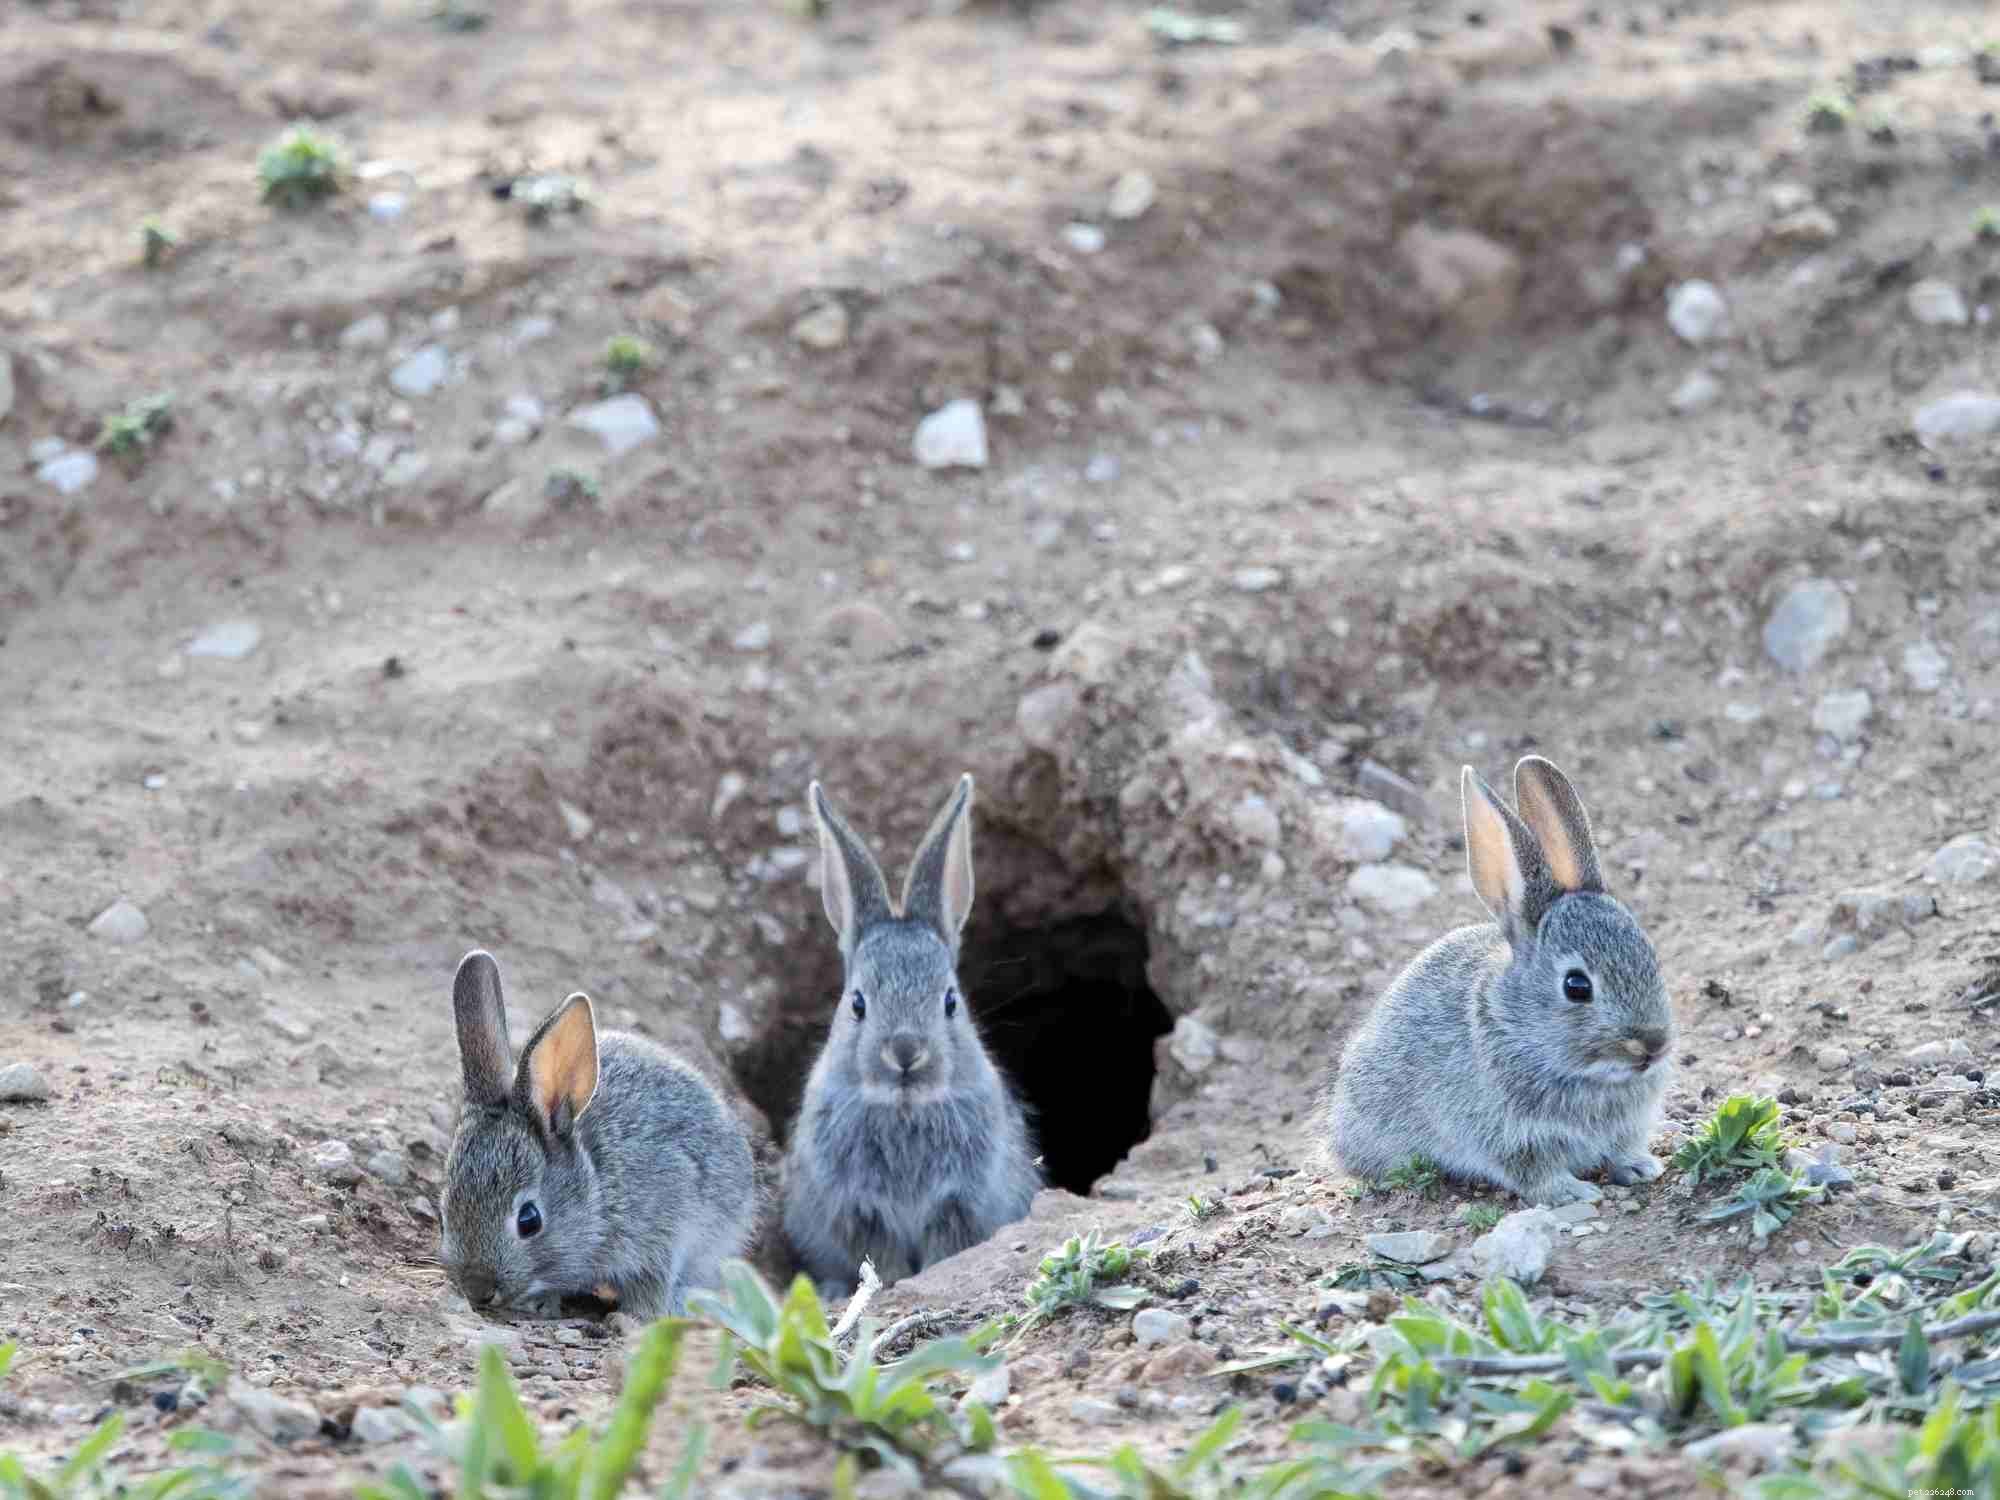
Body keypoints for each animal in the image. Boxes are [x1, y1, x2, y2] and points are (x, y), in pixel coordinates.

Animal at [440, 949, 757, 1320]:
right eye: (443, 1213)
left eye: (529, 1220)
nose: (478, 1289)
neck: (597, 1188)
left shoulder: (666, 1228)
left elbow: (653, 1284)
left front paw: (634, 1317)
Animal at [780, 773, 1041, 1293]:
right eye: (857, 1004)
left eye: (950, 1001)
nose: (905, 1052)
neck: (903, 1107)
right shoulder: (859, 1207)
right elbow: (880, 1254)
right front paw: (893, 1282)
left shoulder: (959, 1199)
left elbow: (946, 1247)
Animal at [1324, 756, 1675, 1208]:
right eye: (1576, 986)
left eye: (1653, 958)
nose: (1653, 1044)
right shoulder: (1509, 1134)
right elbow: (1533, 1172)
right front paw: (1572, 1193)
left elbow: (1621, 1148)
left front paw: (1640, 1167)